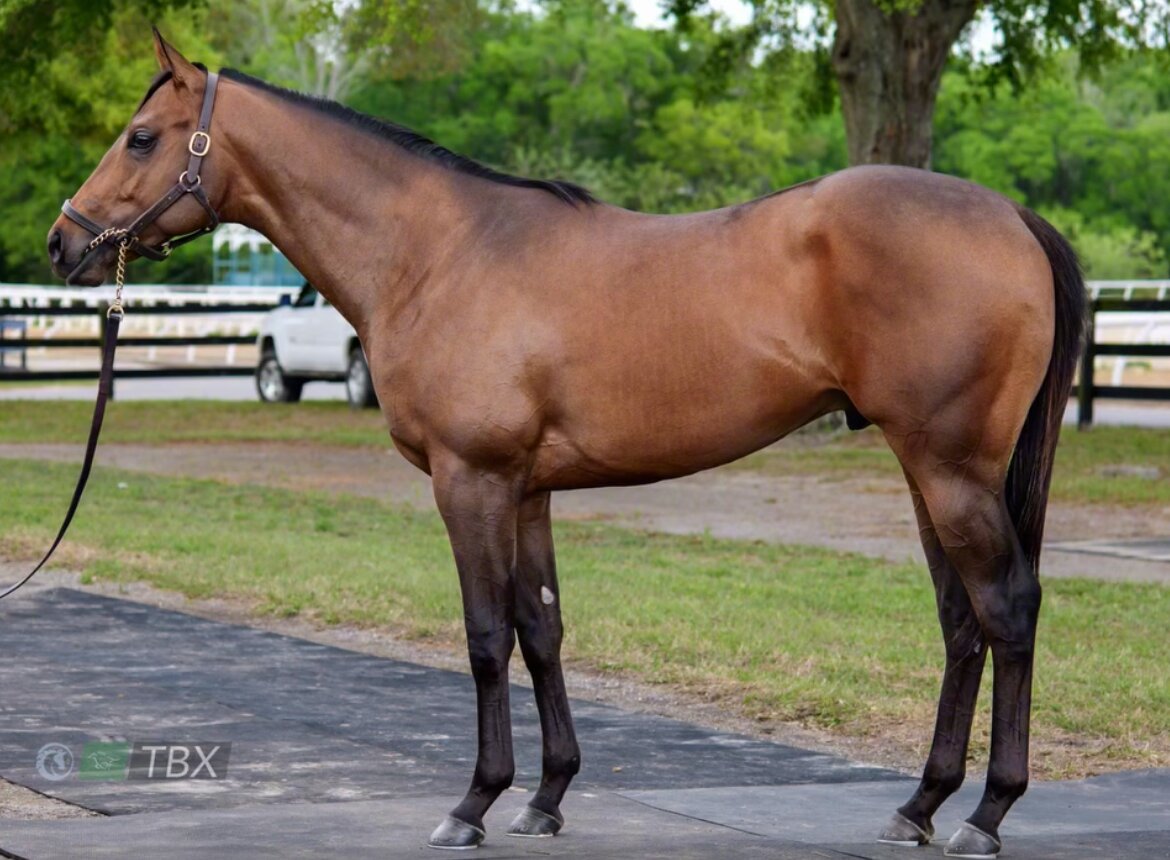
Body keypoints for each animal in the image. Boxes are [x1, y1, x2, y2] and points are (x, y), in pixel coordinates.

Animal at [47, 31, 1084, 858]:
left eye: (142, 138)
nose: (64, 243)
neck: (438, 252)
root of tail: (1010, 216)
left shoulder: (470, 481)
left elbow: (483, 636)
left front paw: (472, 804)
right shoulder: (529, 489)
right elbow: (541, 630)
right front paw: (545, 798)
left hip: (950, 470)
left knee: (1008, 610)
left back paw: (985, 816)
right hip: (928, 473)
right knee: (961, 622)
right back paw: (918, 806)